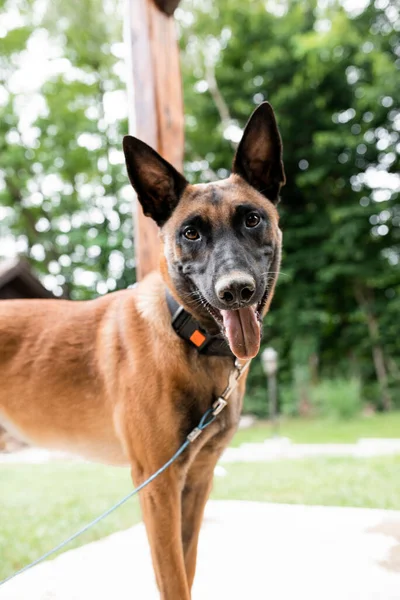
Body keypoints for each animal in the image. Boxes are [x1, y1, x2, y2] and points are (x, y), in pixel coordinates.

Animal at [1, 101, 286, 596]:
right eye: (190, 233)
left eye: (251, 219)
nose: (236, 292)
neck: (187, 335)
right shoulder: (157, 483)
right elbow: (173, 579)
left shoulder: (196, 480)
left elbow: (187, 567)